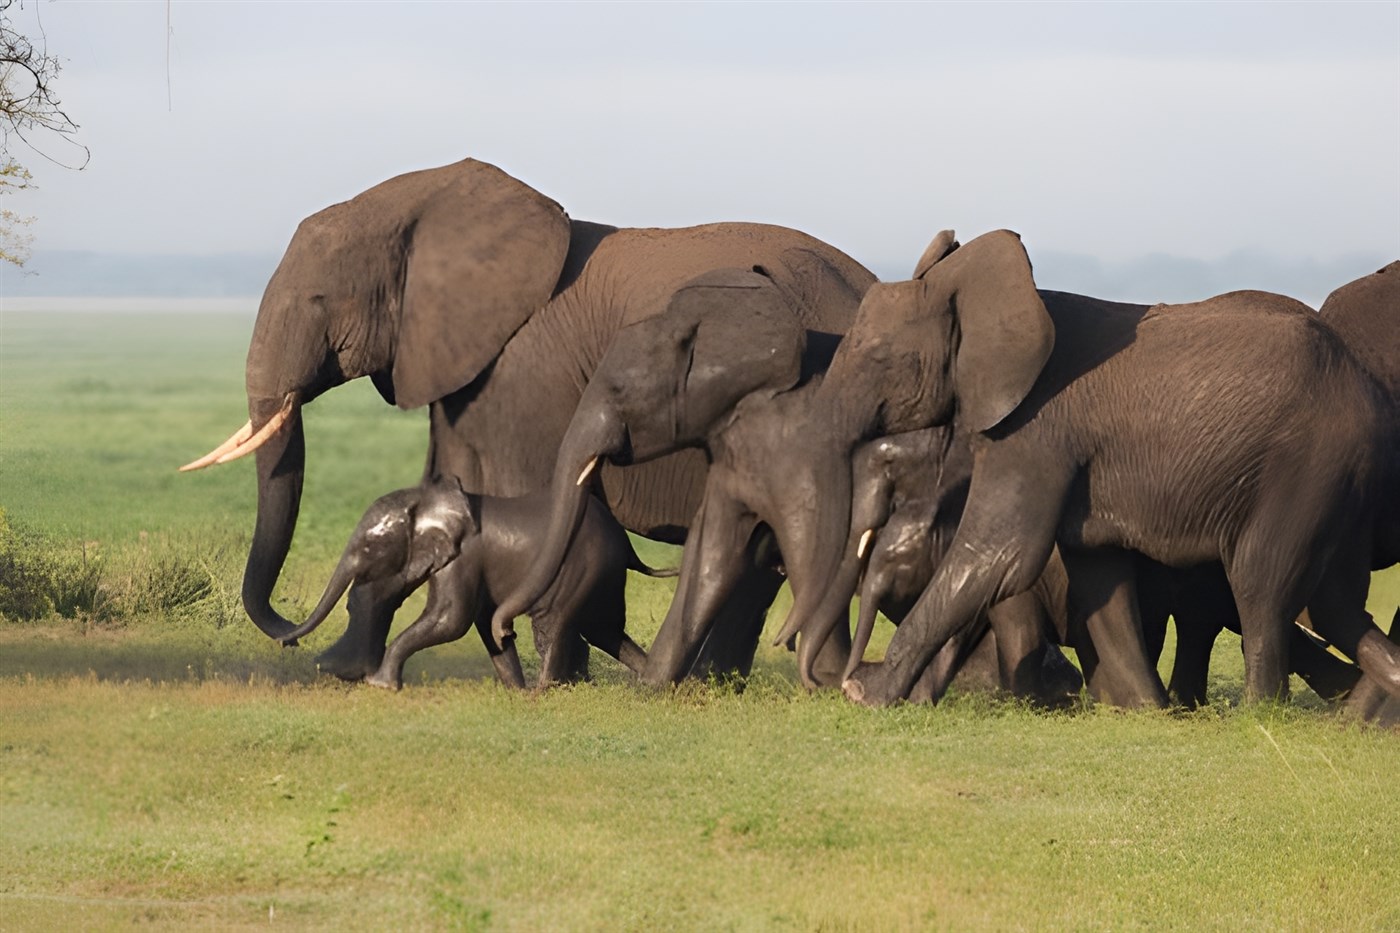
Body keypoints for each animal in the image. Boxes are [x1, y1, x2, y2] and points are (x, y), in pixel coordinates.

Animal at [279, 477, 670, 690]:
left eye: (367, 547)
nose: (288, 643)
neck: (427, 499)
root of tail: (626, 544)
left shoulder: (465, 556)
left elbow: (451, 619)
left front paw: (381, 685)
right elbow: (484, 624)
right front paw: (514, 691)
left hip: (580, 566)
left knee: (553, 625)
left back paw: (545, 691)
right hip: (601, 575)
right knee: (604, 629)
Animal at [781, 229, 1400, 707]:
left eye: (879, 359)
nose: (825, 680)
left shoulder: (1035, 429)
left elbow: (1001, 556)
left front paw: (869, 695)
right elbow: (1096, 568)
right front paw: (1145, 711)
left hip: (1306, 465)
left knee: (1261, 582)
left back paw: (1260, 714)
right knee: (1334, 602)